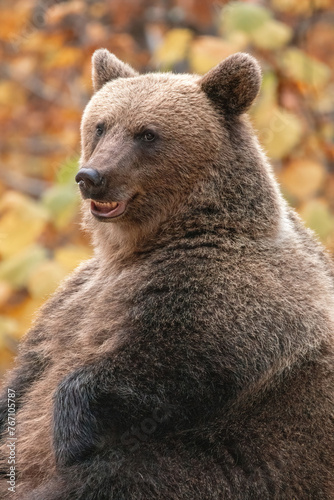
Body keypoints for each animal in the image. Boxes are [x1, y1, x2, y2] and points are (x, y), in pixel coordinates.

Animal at [0, 47, 334, 500]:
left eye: (147, 134)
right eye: (101, 125)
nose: (91, 177)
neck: (135, 247)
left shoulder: (229, 286)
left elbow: (177, 357)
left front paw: (71, 432)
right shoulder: (71, 301)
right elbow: (30, 372)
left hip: (244, 459)